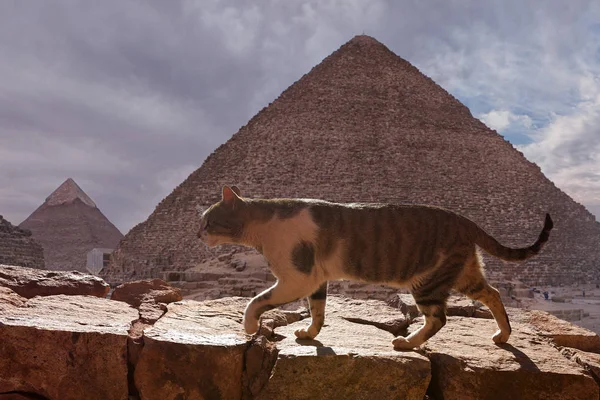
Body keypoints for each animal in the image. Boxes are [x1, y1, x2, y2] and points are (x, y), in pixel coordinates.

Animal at [197, 186, 552, 348]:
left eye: (208, 220)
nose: (197, 233)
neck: (263, 226)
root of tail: (465, 220)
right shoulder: (315, 280)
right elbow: (318, 311)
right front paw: (310, 334)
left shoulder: (296, 278)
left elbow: (255, 302)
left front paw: (249, 327)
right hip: (463, 273)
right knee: (492, 293)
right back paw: (503, 334)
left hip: (427, 281)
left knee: (439, 318)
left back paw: (408, 343)